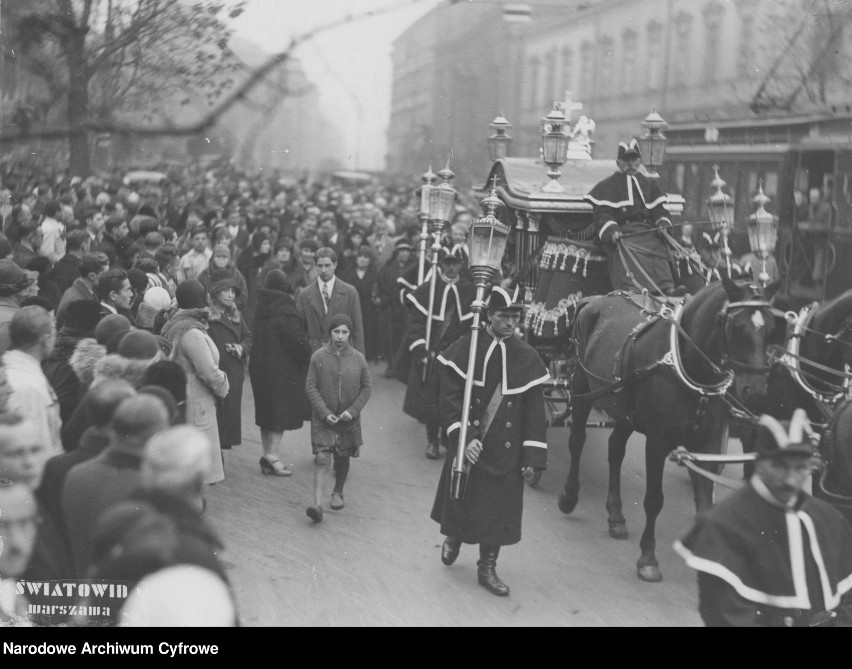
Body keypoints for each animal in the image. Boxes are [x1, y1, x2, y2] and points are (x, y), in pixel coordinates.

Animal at [560, 276, 784, 580]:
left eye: (771, 328)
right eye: (737, 326)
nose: (756, 391)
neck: (690, 369)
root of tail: (594, 300)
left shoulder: (708, 443)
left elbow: (705, 504)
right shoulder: (656, 441)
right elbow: (654, 499)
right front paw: (648, 558)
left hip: (624, 411)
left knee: (615, 449)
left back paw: (616, 515)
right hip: (582, 389)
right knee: (577, 440)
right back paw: (569, 495)